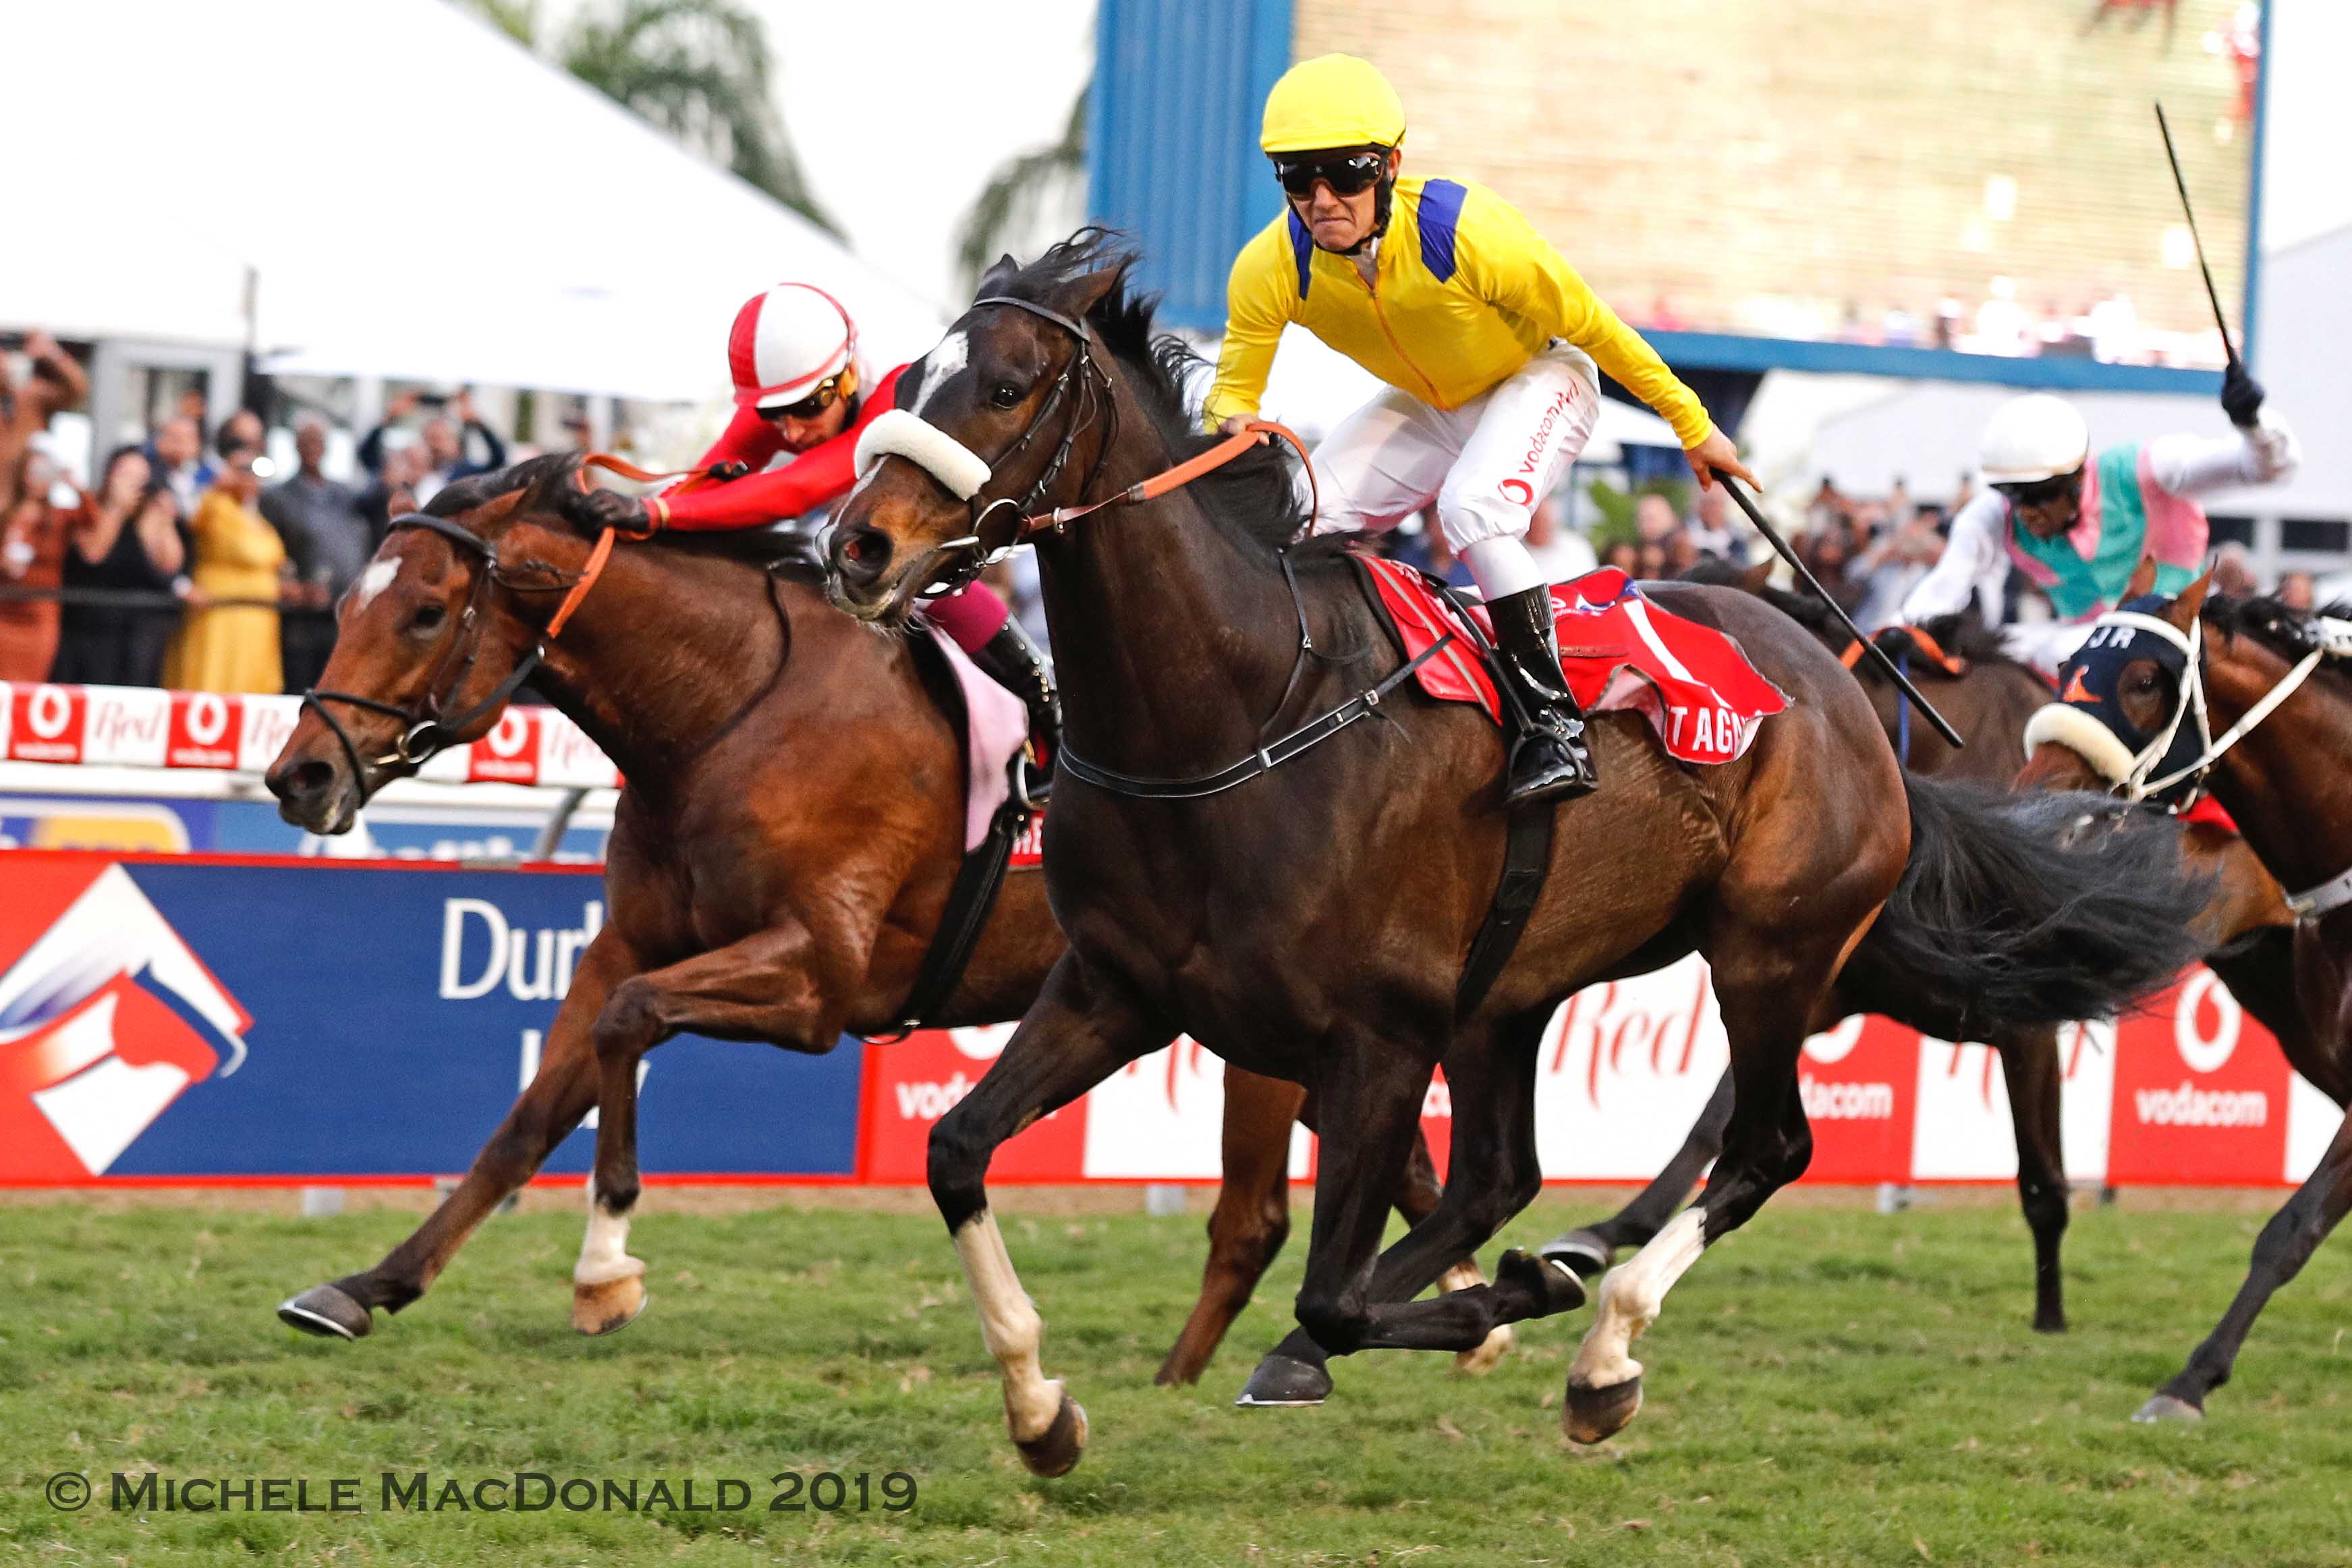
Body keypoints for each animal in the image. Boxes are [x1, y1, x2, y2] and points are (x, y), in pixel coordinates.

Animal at [814, 236, 2201, 1476]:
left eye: (1005, 387)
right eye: (906, 379)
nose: (855, 547)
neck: (1241, 711)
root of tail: (1849, 688)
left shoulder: (1376, 1037)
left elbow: (1331, 1293)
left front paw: (1507, 1309)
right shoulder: (1119, 989)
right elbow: (956, 1150)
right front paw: (1040, 1408)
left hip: (1771, 954)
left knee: (1762, 1149)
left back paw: (1602, 1347)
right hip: (1512, 987)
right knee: (1499, 1172)